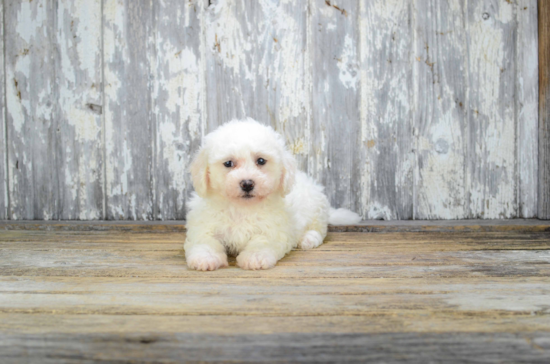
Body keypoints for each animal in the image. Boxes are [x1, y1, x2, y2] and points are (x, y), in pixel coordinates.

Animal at [185, 119, 362, 270]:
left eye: (261, 161)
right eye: (228, 163)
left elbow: (263, 241)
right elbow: (205, 240)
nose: (247, 183)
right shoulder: (204, 224)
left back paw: (308, 238)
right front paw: (205, 258)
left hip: (315, 207)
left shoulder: (274, 228)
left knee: (319, 229)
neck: (242, 207)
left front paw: (255, 257)